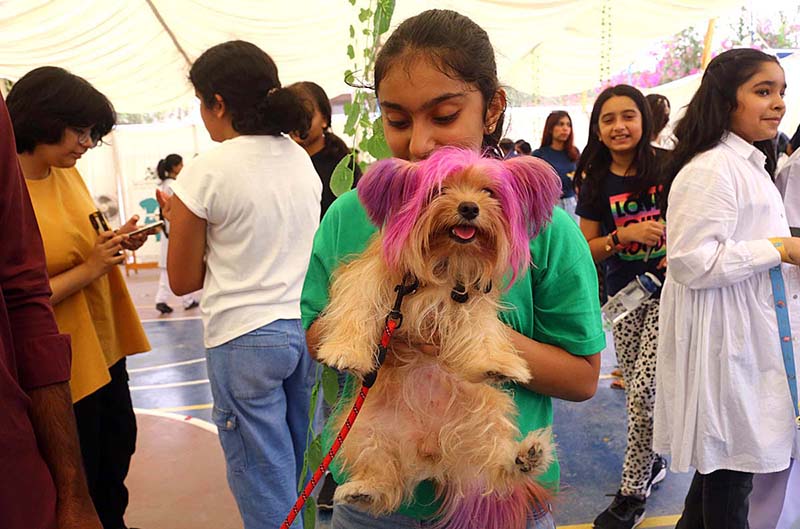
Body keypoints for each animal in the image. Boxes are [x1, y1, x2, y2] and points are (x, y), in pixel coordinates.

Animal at [318, 145, 564, 528]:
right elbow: (355, 309)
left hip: (487, 415)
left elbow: (481, 332)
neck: (445, 258)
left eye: (489, 192)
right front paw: (344, 351)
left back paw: (526, 457)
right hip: (364, 430)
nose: (469, 207)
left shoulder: (470, 300)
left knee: (495, 473)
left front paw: (497, 363)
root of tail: (430, 453)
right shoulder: (369, 279)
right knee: (385, 477)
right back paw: (364, 490)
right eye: (440, 190)